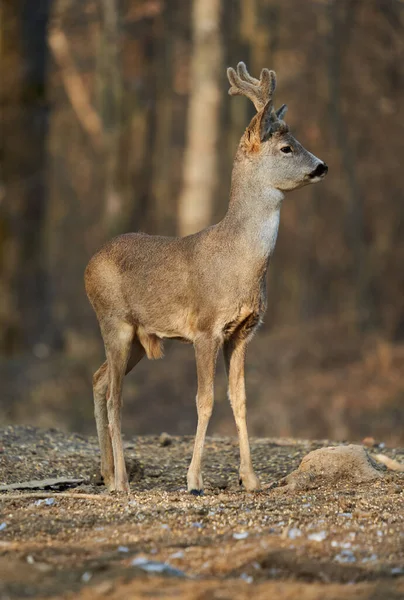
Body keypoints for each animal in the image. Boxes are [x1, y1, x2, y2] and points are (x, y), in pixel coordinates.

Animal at [85, 61, 328, 494]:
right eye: (287, 147)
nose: (322, 166)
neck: (238, 261)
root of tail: (87, 266)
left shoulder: (243, 332)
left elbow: (240, 399)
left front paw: (251, 478)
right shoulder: (204, 329)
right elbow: (205, 400)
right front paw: (194, 479)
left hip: (137, 338)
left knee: (98, 380)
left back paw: (108, 474)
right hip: (113, 322)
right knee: (114, 396)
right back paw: (123, 482)